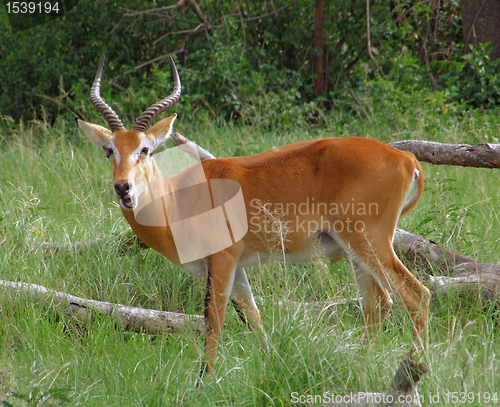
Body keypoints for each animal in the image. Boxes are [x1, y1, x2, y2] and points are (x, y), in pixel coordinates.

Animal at [78, 55, 430, 380]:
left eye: (145, 149)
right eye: (110, 150)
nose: (122, 187)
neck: (176, 202)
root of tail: (406, 157)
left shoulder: (222, 261)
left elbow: (213, 321)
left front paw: (204, 383)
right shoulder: (238, 268)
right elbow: (254, 318)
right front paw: (274, 365)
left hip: (369, 241)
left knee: (416, 294)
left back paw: (416, 368)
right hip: (354, 250)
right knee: (378, 302)